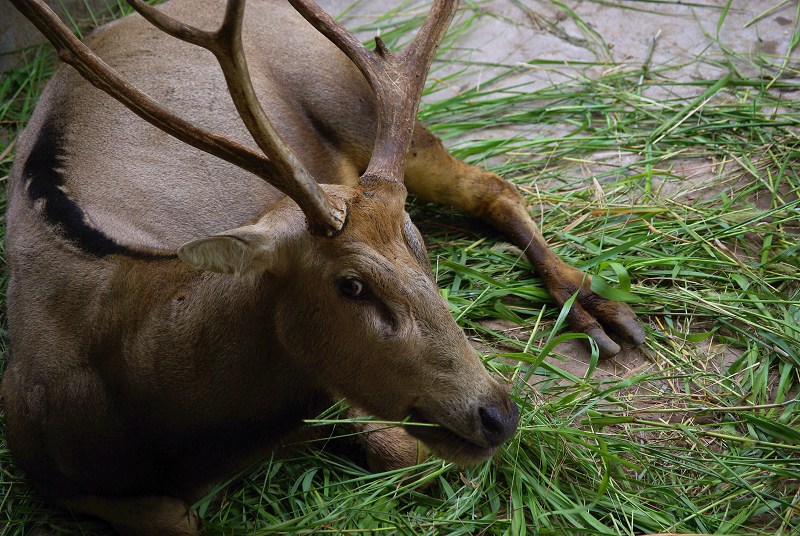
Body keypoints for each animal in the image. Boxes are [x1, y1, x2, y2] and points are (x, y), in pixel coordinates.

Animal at [3, 1, 648, 532]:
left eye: (421, 248)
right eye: (351, 285)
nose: (498, 414)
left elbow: (400, 451)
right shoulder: (42, 467)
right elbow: (174, 518)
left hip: (353, 96)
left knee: (493, 186)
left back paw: (598, 311)